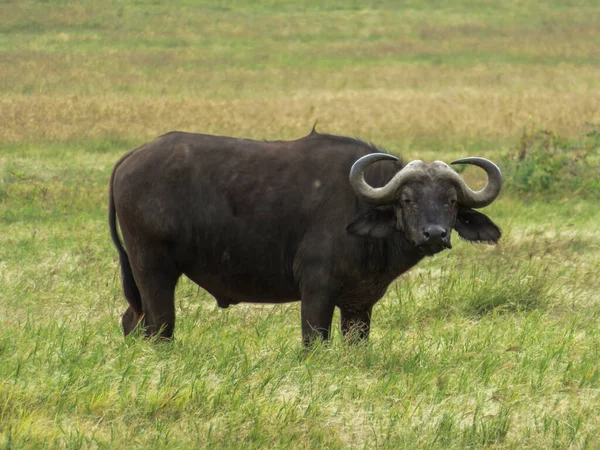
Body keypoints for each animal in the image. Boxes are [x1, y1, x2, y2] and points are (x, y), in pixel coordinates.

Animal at [109, 128, 502, 346]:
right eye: (407, 199)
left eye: (451, 201)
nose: (434, 234)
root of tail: (131, 158)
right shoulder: (316, 291)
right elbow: (313, 341)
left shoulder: (360, 305)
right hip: (153, 270)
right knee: (159, 327)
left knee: (131, 321)